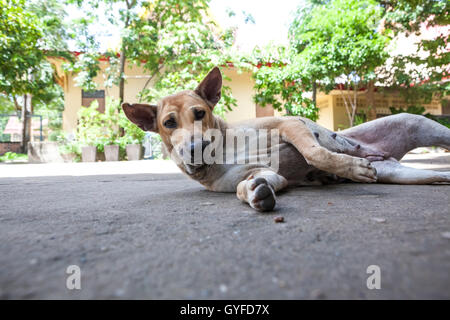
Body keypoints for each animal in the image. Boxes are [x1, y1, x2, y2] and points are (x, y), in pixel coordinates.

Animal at [120, 67, 450, 211]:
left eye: (200, 113)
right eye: (169, 123)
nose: (195, 148)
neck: (222, 152)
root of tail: (381, 156)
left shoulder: (289, 125)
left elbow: (317, 153)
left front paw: (351, 167)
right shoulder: (267, 173)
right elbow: (250, 184)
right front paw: (254, 193)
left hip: (420, 123)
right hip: (405, 173)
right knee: (438, 176)